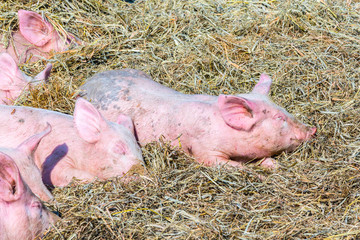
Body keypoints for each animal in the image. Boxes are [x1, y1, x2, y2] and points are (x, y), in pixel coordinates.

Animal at [80, 69, 316, 169]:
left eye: (283, 109)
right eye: (279, 117)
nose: (313, 129)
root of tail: (86, 82)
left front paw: (272, 165)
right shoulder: (205, 149)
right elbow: (224, 165)